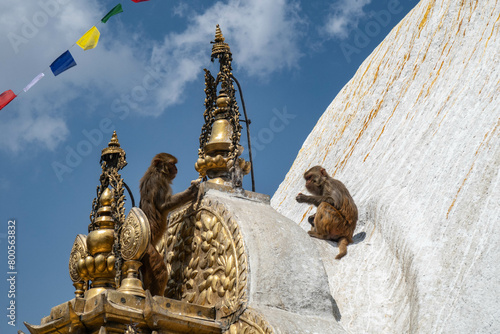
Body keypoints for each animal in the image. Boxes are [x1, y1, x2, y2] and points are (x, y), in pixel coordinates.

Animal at [139, 153, 199, 296]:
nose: (176, 168)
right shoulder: (159, 181)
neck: (156, 171)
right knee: (160, 271)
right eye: (172, 164)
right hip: (149, 252)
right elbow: (164, 205)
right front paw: (191, 191)